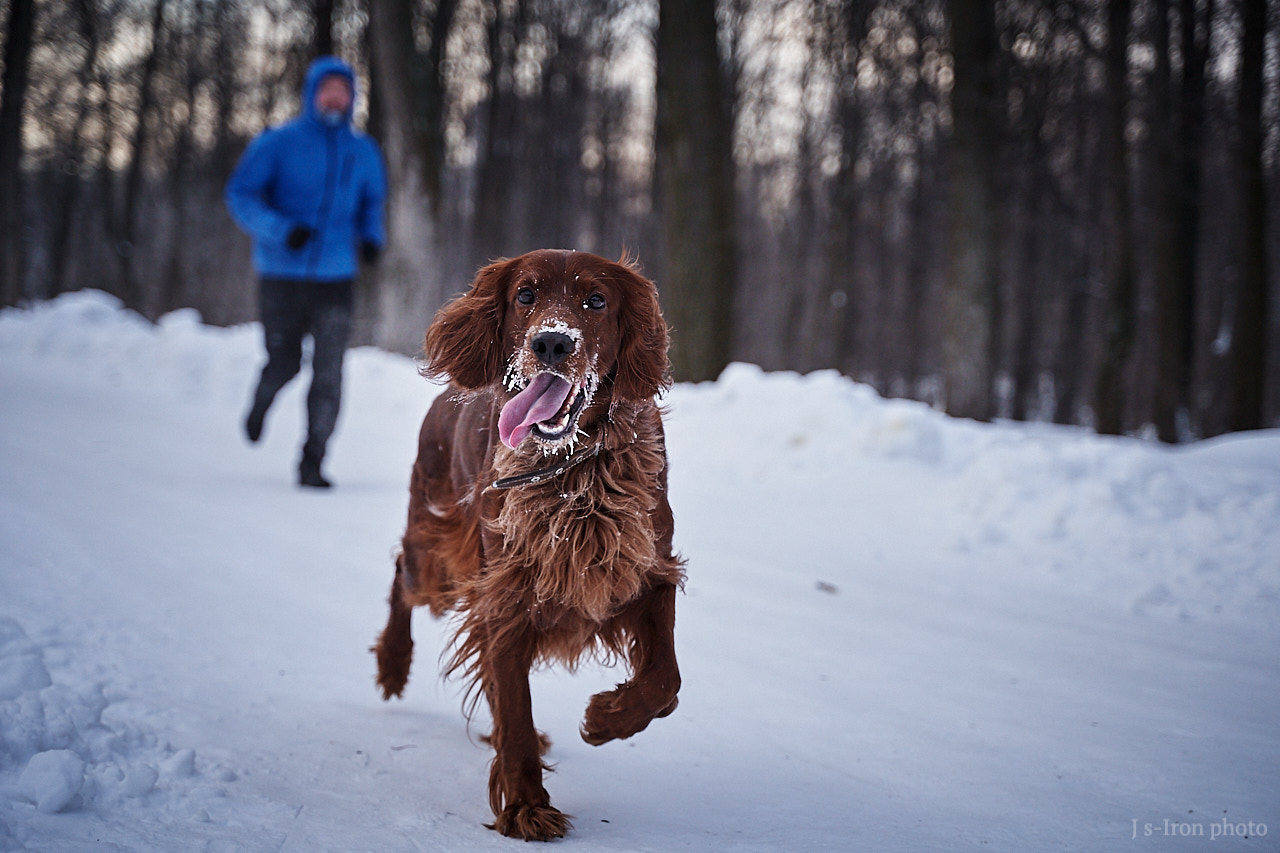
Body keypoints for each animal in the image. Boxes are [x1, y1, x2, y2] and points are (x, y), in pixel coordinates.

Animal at [373, 245, 686, 835]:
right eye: (525, 294)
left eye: (596, 300)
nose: (552, 343)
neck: (571, 467)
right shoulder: (506, 594)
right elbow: (515, 708)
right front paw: (525, 807)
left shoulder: (646, 568)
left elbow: (665, 680)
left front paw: (605, 719)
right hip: (438, 554)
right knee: (404, 570)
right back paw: (393, 664)